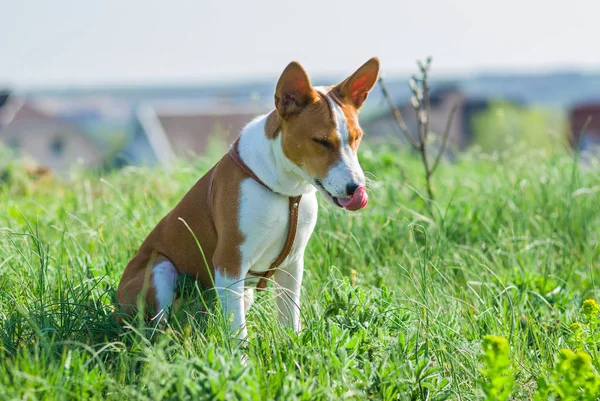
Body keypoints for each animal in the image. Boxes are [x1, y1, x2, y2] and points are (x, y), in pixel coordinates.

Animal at [116, 57, 380, 338]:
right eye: (321, 141)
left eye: (357, 138)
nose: (356, 188)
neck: (285, 191)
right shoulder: (230, 261)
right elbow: (237, 329)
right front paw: (240, 352)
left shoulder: (292, 263)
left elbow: (289, 316)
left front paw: (293, 345)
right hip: (160, 269)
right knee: (156, 328)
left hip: (242, 293)